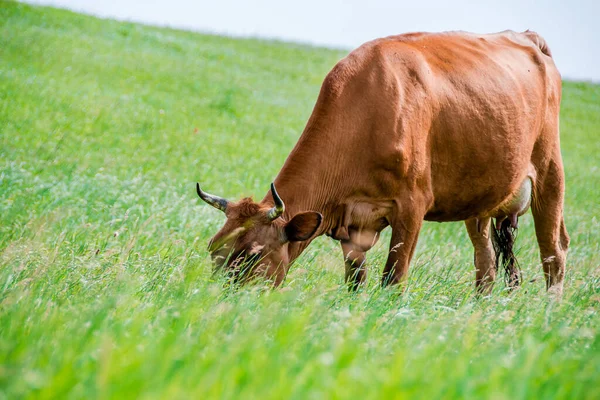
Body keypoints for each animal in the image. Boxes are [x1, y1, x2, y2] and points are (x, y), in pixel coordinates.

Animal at [197, 29, 568, 296]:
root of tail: (527, 36)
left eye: (253, 253)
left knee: (554, 252)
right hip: (481, 199)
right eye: (214, 250)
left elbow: (393, 279)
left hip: (550, 172)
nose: (216, 301)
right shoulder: (352, 224)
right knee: (486, 261)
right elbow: (355, 283)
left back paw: (549, 314)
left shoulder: (413, 206)